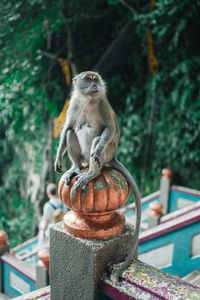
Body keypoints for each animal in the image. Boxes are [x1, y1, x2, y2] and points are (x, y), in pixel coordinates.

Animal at [54, 71, 141, 282]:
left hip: (107, 154)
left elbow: (109, 129)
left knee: (96, 142)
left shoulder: (102, 103)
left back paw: (92, 173)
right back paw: (76, 168)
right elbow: (66, 128)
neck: (88, 100)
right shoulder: (73, 104)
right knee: (71, 132)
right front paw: (58, 157)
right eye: (89, 79)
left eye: (96, 79)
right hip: (84, 158)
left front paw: (99, 145)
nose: (95, 84)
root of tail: (113, 157)